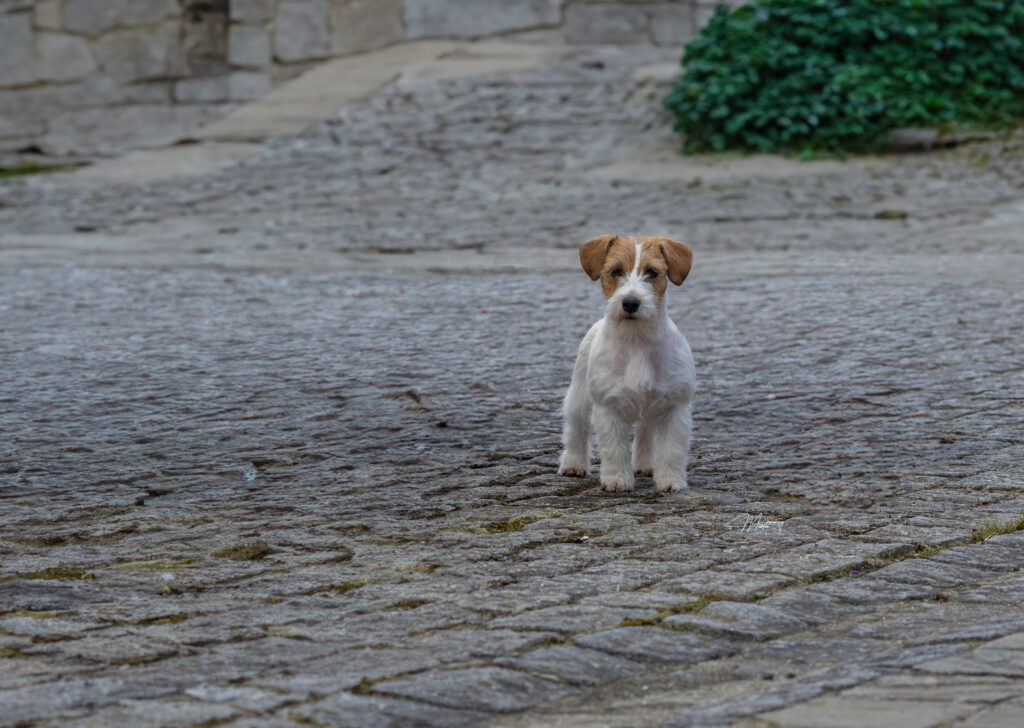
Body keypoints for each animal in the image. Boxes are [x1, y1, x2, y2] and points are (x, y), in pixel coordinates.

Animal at [558, 234, 695, 493]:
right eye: (615, 271)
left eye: (652, 272)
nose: (630, 303)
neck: (637, 340)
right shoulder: (608, 406)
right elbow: (614, 448)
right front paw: (617, 480)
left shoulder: (675, 406)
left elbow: (671, 450)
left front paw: (670, 481)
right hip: (579, 397)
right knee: (576, 430)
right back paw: (573, 464)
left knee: (644, 433)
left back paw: (644, 465)